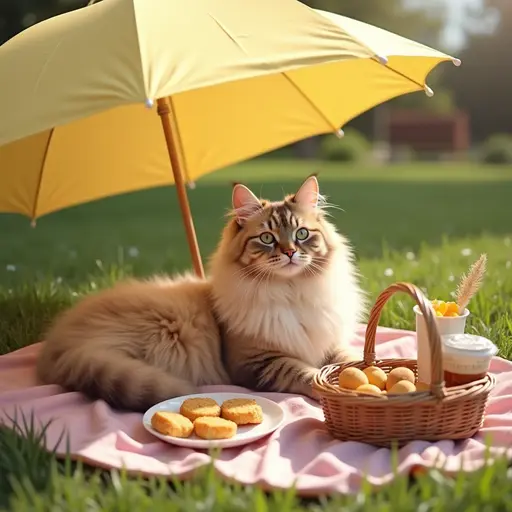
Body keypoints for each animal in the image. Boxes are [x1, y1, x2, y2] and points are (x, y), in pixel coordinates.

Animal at [36, 174, 364, 410]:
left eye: (302, 233)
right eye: (267, 238)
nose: (290, 252)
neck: (292, 292)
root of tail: (57, 341)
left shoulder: (329, 343)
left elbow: (350, 359)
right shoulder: (257, 362)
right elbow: (306, 373)